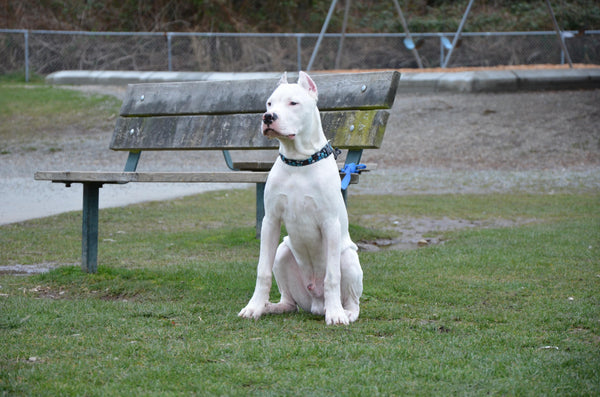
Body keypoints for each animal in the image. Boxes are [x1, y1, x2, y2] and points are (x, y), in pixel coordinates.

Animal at [238, 71, 360, 324]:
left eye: (293, 103)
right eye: (269, 103)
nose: (268, 117)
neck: (298, 161)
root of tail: (317, 304)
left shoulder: (330, 223)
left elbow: (332, 276)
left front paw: (336, 315)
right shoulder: (270, 221)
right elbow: (262, 271)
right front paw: (254, 307)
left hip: (348, 258)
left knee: (352, 300)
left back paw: (343, 311)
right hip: (283, 251)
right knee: (290, 302)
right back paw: (272, 306)